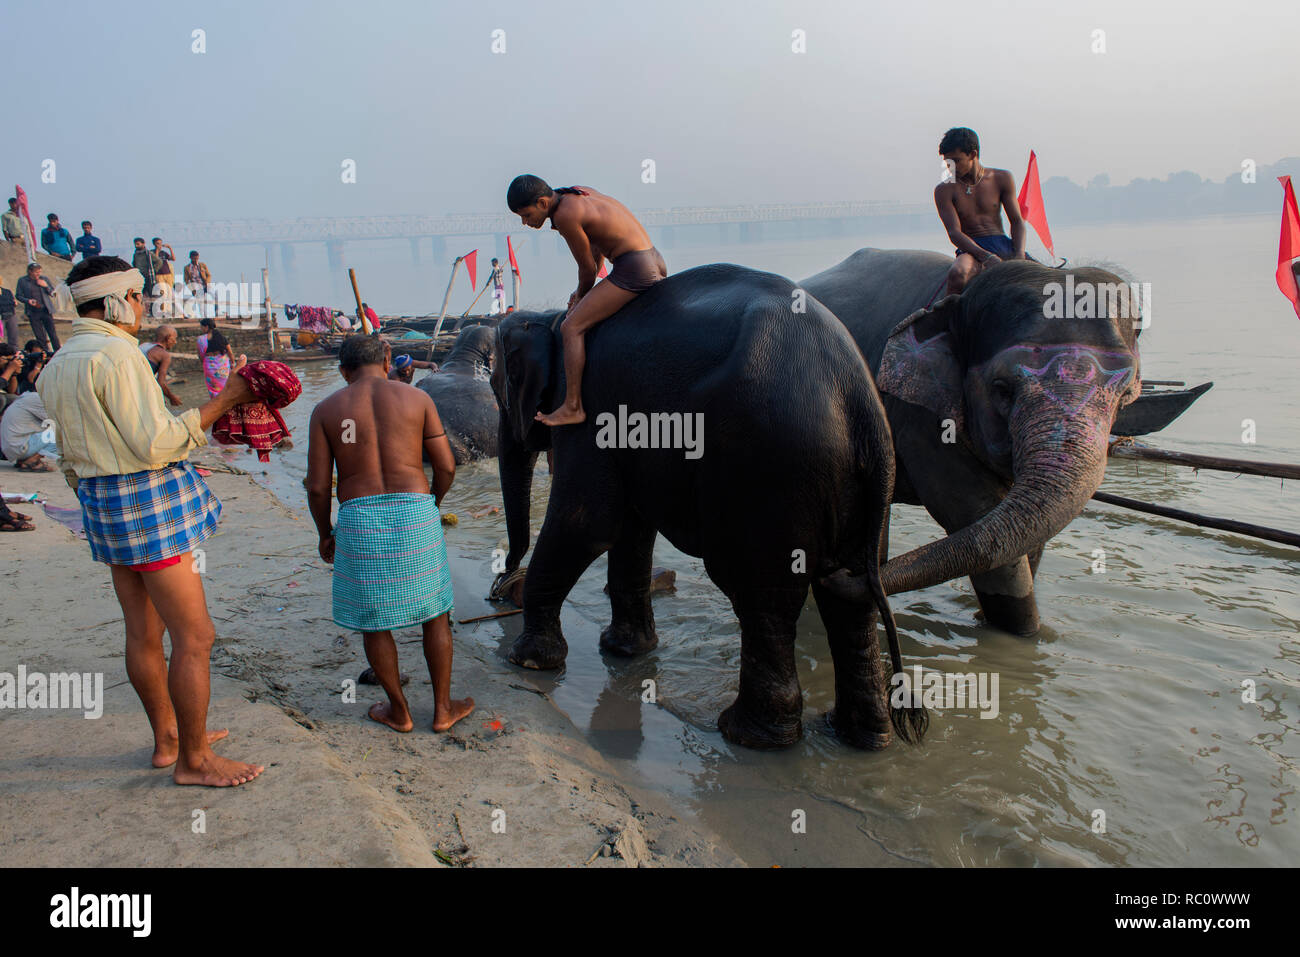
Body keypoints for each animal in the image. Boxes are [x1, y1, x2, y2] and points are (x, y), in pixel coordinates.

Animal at [488, 265, 925, 748]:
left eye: (496, 386)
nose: (500, 583)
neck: (551, 321)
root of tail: (858, 397)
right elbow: (630, 530)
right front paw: (624, 651)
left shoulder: (585, 411)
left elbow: (588, 522)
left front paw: (527, 661)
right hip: (859, 485)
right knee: (850, 592)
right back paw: (863, 737)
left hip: (765, 473)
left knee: (762, 596)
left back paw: (747, 735)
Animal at [800, 248, 1138, 634]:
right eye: (1001, 389)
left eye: (1125, 395)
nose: (834, 575)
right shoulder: (917, 412)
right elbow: (973, 512)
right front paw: (1024, 633)